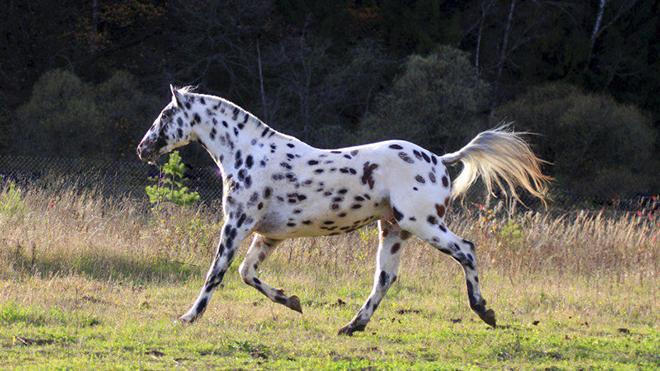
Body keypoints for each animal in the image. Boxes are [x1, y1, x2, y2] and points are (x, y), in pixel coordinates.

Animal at [137, 85, 548, 336]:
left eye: (165, 115)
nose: (143, 148)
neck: (248, 155)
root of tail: (439, 159)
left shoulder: (236, 226)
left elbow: (217, 273)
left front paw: (188, 317)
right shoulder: (267, 235)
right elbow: (246, 274)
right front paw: (293, 302)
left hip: (424, 223)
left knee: (466, 250)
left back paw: (484, 311)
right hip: (393, 230)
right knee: (385, 278)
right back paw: (353, 325)